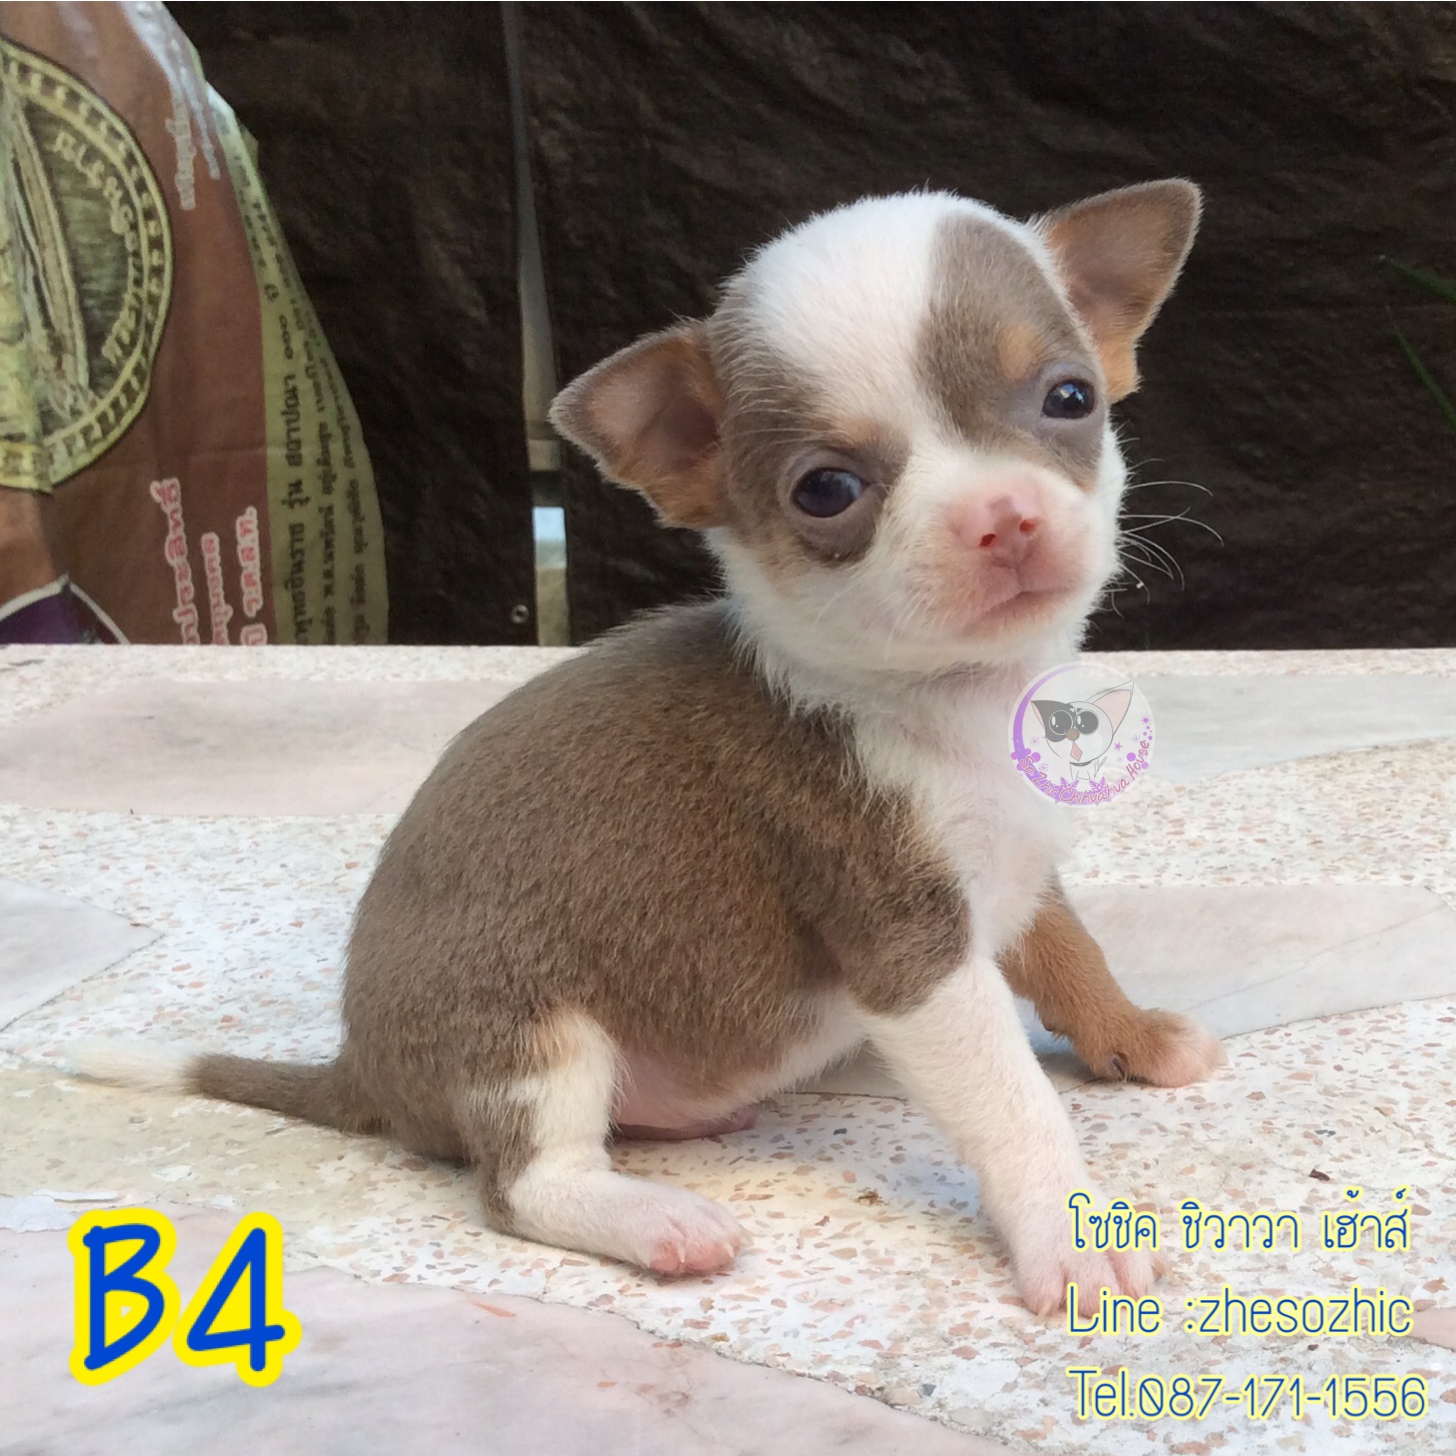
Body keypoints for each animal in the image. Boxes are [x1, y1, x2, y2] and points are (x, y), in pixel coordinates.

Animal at [76, 181, 1224, 1315]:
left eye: (1069, 399)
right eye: (825, 490)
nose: (1004, 516)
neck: (952, 700)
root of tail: (362, 1070)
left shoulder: (1015, 876)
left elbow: (1071, 951)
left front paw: (1134, 1034)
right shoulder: (911, 950)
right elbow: (1011, 1101)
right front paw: (1071, 1235)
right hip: (531, 1032)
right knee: (522, 1185)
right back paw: (657, 1222)